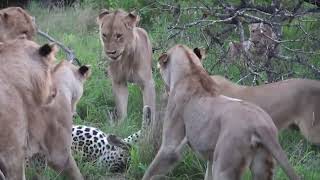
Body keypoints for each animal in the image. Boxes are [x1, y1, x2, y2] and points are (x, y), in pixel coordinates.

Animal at [143, 44, 300, 180]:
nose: (156, 67)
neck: (191, 72)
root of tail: (261, 125)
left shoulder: (171, 146)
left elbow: (152, 169)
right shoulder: (211, 157)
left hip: (225, 165)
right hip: (262, 165)